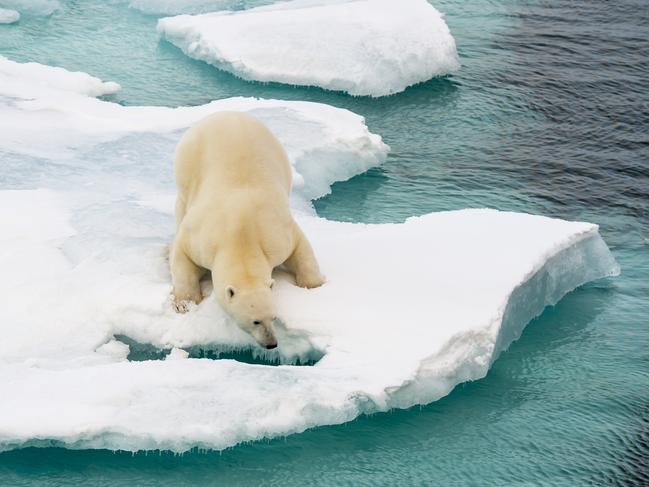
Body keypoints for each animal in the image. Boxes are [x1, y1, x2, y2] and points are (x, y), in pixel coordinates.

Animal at [171, 112, 324, 348]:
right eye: (255, 321)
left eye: (274, 317)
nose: (272, 343)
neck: (240, 234)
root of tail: (227, 113)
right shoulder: (201, 238)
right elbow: (182, 254)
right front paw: (185, 303)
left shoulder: (276, 234)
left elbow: (300, 248)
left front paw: (314, 287)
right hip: (187, 162)